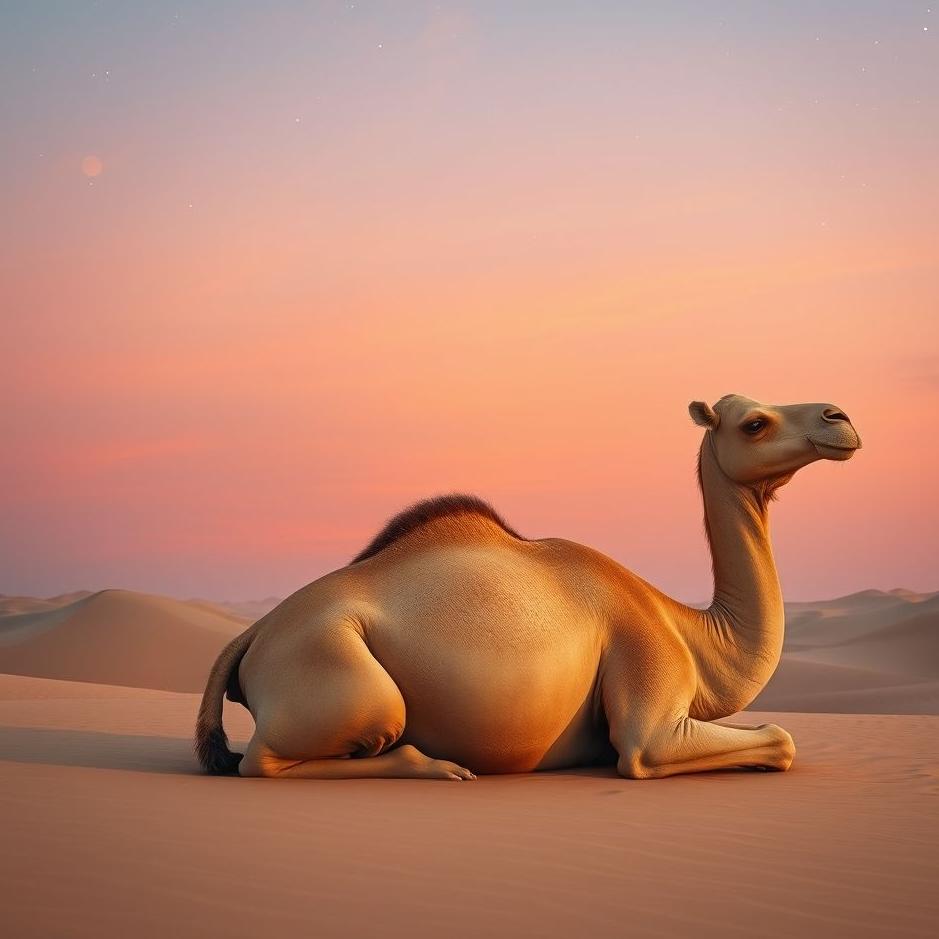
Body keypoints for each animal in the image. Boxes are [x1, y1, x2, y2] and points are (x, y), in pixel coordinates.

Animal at [196, 394, 861, 780]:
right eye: (754, 423)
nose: (841, 418)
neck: (693, 633)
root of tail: (252, 634)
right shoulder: (649, 687)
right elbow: (773, 738)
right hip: (342, 674)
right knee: (262, 761)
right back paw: (439, 768)